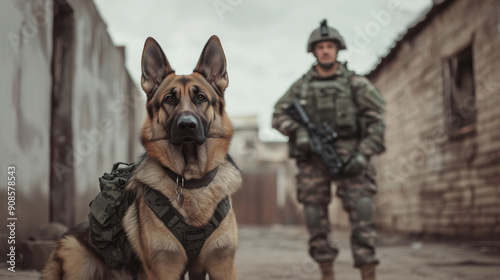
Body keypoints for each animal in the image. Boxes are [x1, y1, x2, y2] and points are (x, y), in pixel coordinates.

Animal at [40, 36, 242, 278]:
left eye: (201, 97)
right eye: (169, 99)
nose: (187, 125)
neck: (191, 181)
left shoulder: (222, 264)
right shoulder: (164, 267)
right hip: (79, 261)